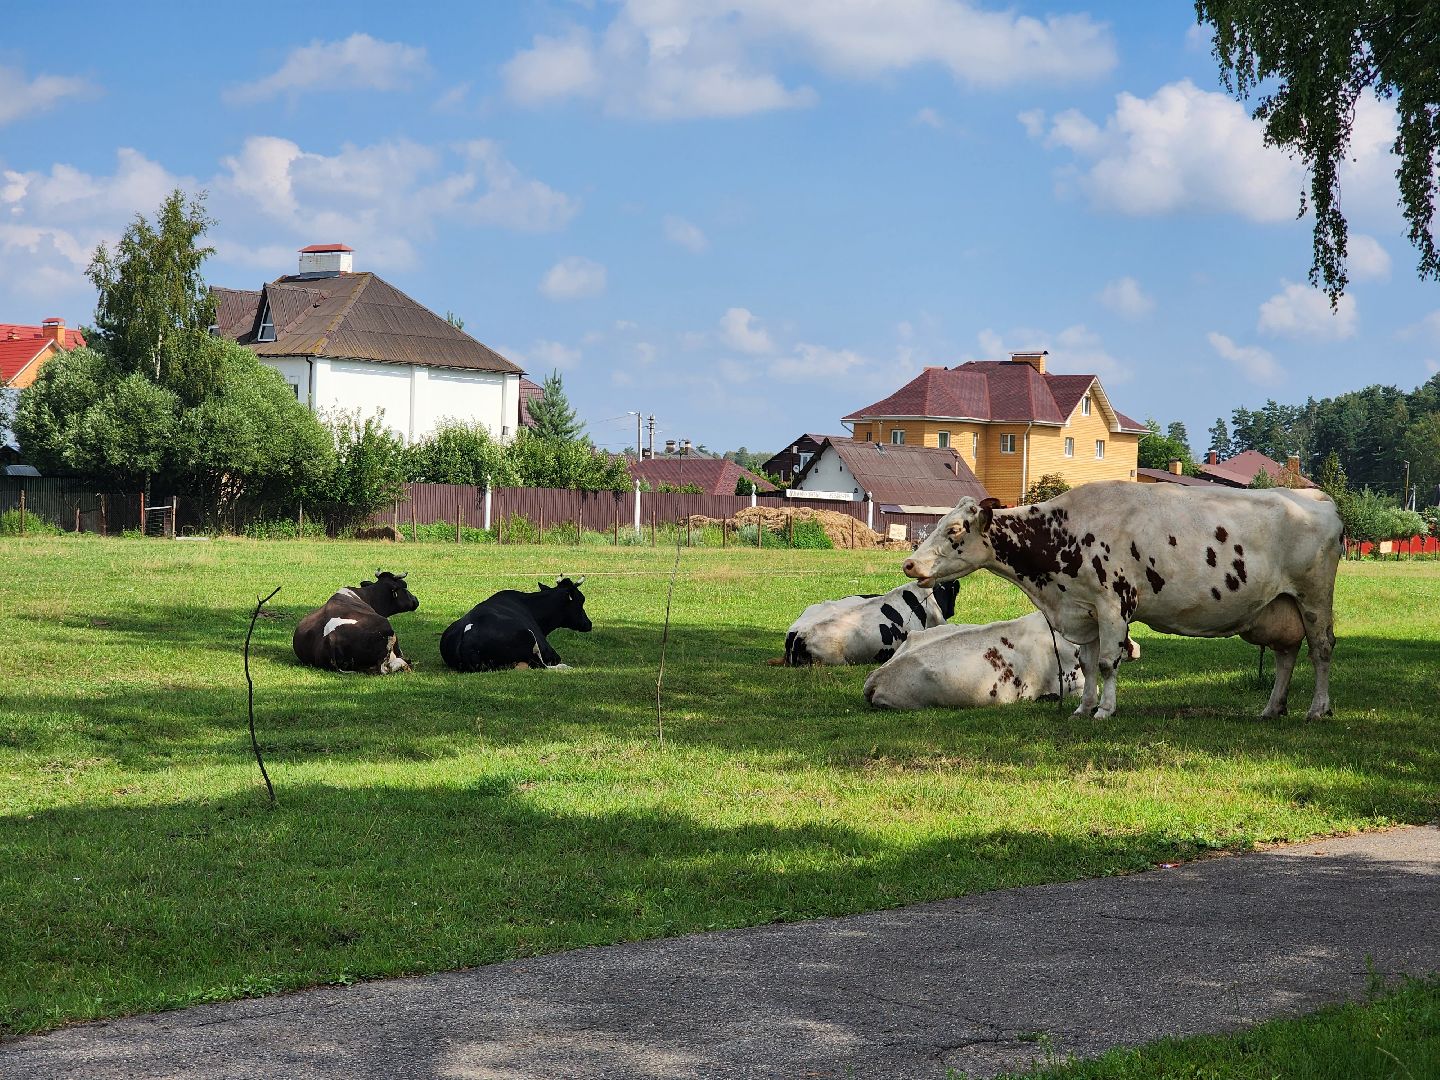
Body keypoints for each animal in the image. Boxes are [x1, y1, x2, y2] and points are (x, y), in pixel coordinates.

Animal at [440, 577, 592, 672]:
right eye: (581, 600)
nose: (589, 624)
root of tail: (465, 639)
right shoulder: (549, 652)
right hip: (529, 639)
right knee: (541, 665)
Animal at [902, 482, 1341, 720]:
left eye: (954, 529)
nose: (909, 563)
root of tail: (1313, 497)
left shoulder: (1113, 605)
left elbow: (1107, 662)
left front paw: (1104, 710)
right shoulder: (1086, 611)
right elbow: (1086, 663)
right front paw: (1083, 708)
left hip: (1314, 598)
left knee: (1321, 649)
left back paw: (1318, 708)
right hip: (1281, 606)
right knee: (1286, 655)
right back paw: (1273, 708)